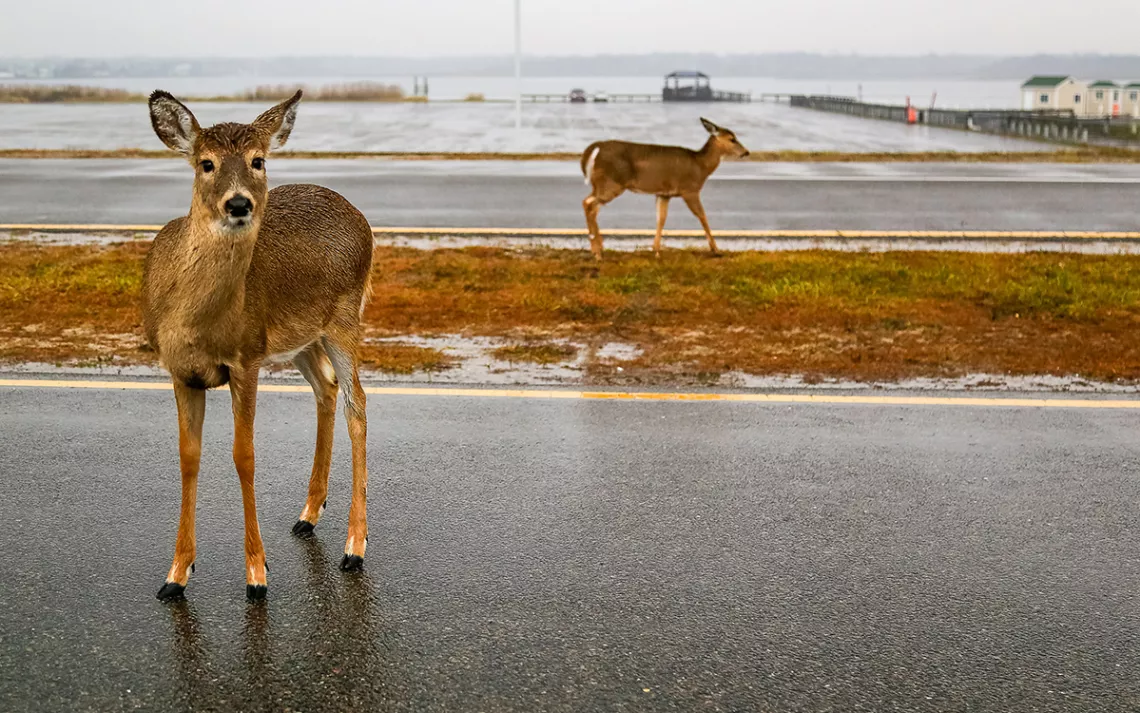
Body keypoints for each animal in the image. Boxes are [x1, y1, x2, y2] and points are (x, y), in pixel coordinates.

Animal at [141, 88, 373, 602]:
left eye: (258, 160)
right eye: (205, 162)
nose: (239, 203)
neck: (197, 323)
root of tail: (359, 216)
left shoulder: (246, 358)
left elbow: (243, 456)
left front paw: (256, 574)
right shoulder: (180, 370)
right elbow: (188, 457)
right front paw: (176, 574)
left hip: (345, 318)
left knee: (358, 404)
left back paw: (354, 547)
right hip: (301, 337)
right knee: (326, 388)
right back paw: (308, 514)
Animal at [579, 116, 747, 261]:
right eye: (732, 139)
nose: (746, 152)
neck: (701, 166)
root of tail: (596, 148)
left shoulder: (664, 193)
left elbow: (661, 218)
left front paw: (656, 251)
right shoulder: (690, 190)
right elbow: (702, 216)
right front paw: (716, 250)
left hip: (601, 185)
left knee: (591, 206)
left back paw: (598, 249)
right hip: (612, 183)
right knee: (588, 204)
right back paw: (597, 253)